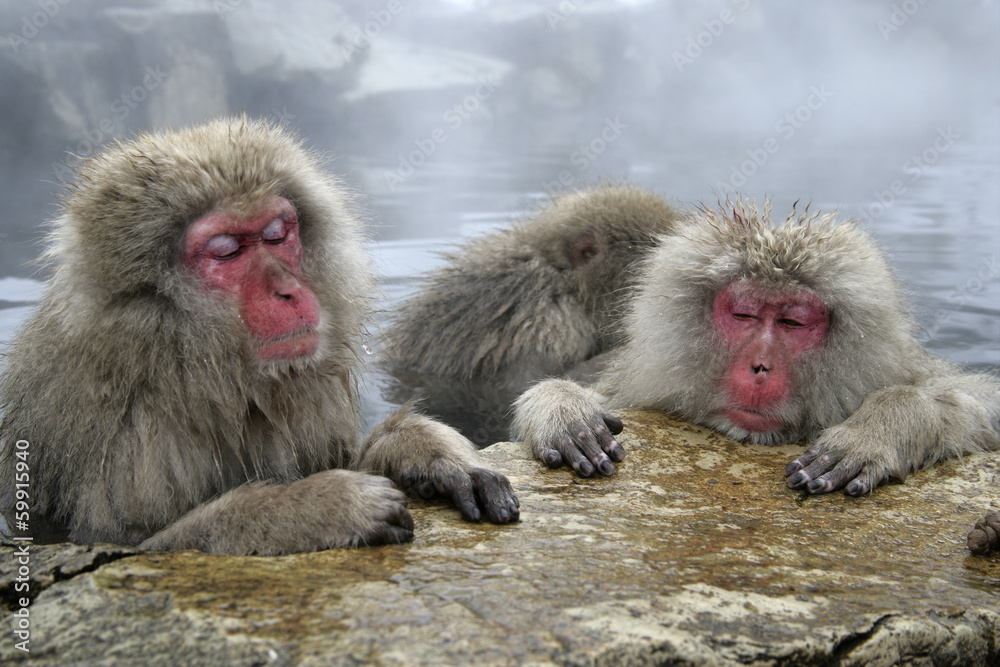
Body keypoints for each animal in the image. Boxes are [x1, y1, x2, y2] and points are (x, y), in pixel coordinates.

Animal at [0, 117, 518, 556]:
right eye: (227, 251)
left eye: (275, 234)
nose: (288, 290)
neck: (178, 367)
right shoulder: (132, 437)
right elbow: (127, 544)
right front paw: (317, 508)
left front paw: (426, 454)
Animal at [512, 198, 1000, 494]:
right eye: (744, 314)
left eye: (792, 321)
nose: (760, 367)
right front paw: (563, 408)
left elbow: (981, 401)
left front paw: (877, 427)